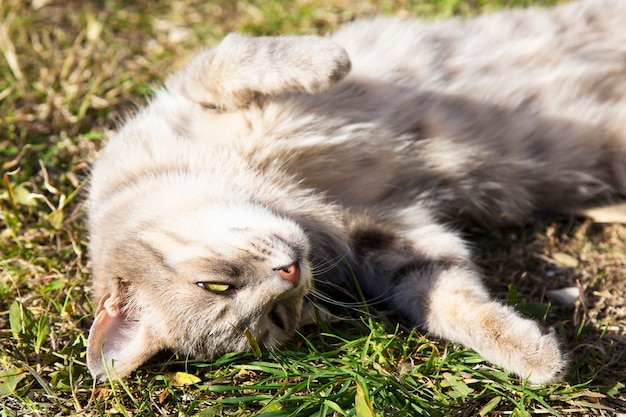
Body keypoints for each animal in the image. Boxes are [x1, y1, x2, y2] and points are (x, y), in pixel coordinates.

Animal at [85, 0, 624, 384]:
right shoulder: (391, 233)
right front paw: (532, 355)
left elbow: (229, 60)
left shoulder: (186, 92)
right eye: (278, 317)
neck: (283, 188)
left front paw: (329, 59)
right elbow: (448, 300)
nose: (290, 271)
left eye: (213, 284)